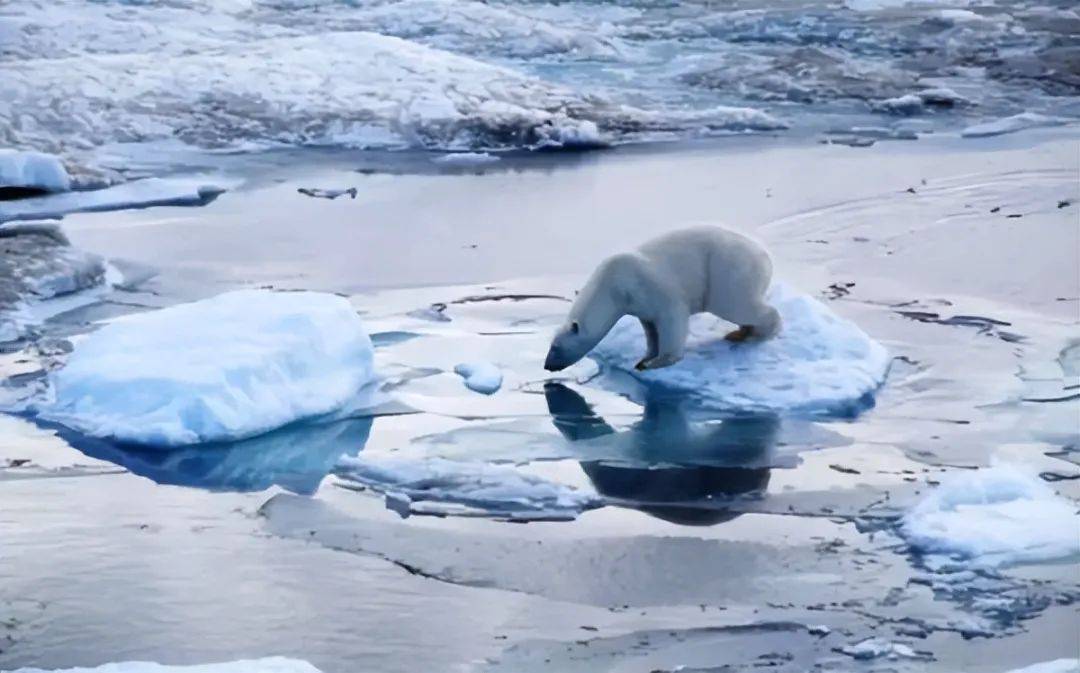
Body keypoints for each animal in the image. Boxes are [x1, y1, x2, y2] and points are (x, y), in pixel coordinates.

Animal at [544, 226, 781, 373]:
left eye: (555, 347)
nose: (547, 366)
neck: (612, 284)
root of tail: (766, 256)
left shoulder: (651, 285)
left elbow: (672, 318)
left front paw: (655, 363)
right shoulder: (639, 303)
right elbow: (650, 329)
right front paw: (645, 357)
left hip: (727, 270)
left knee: (737, 305)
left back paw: (756, 334)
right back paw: (738, 333)